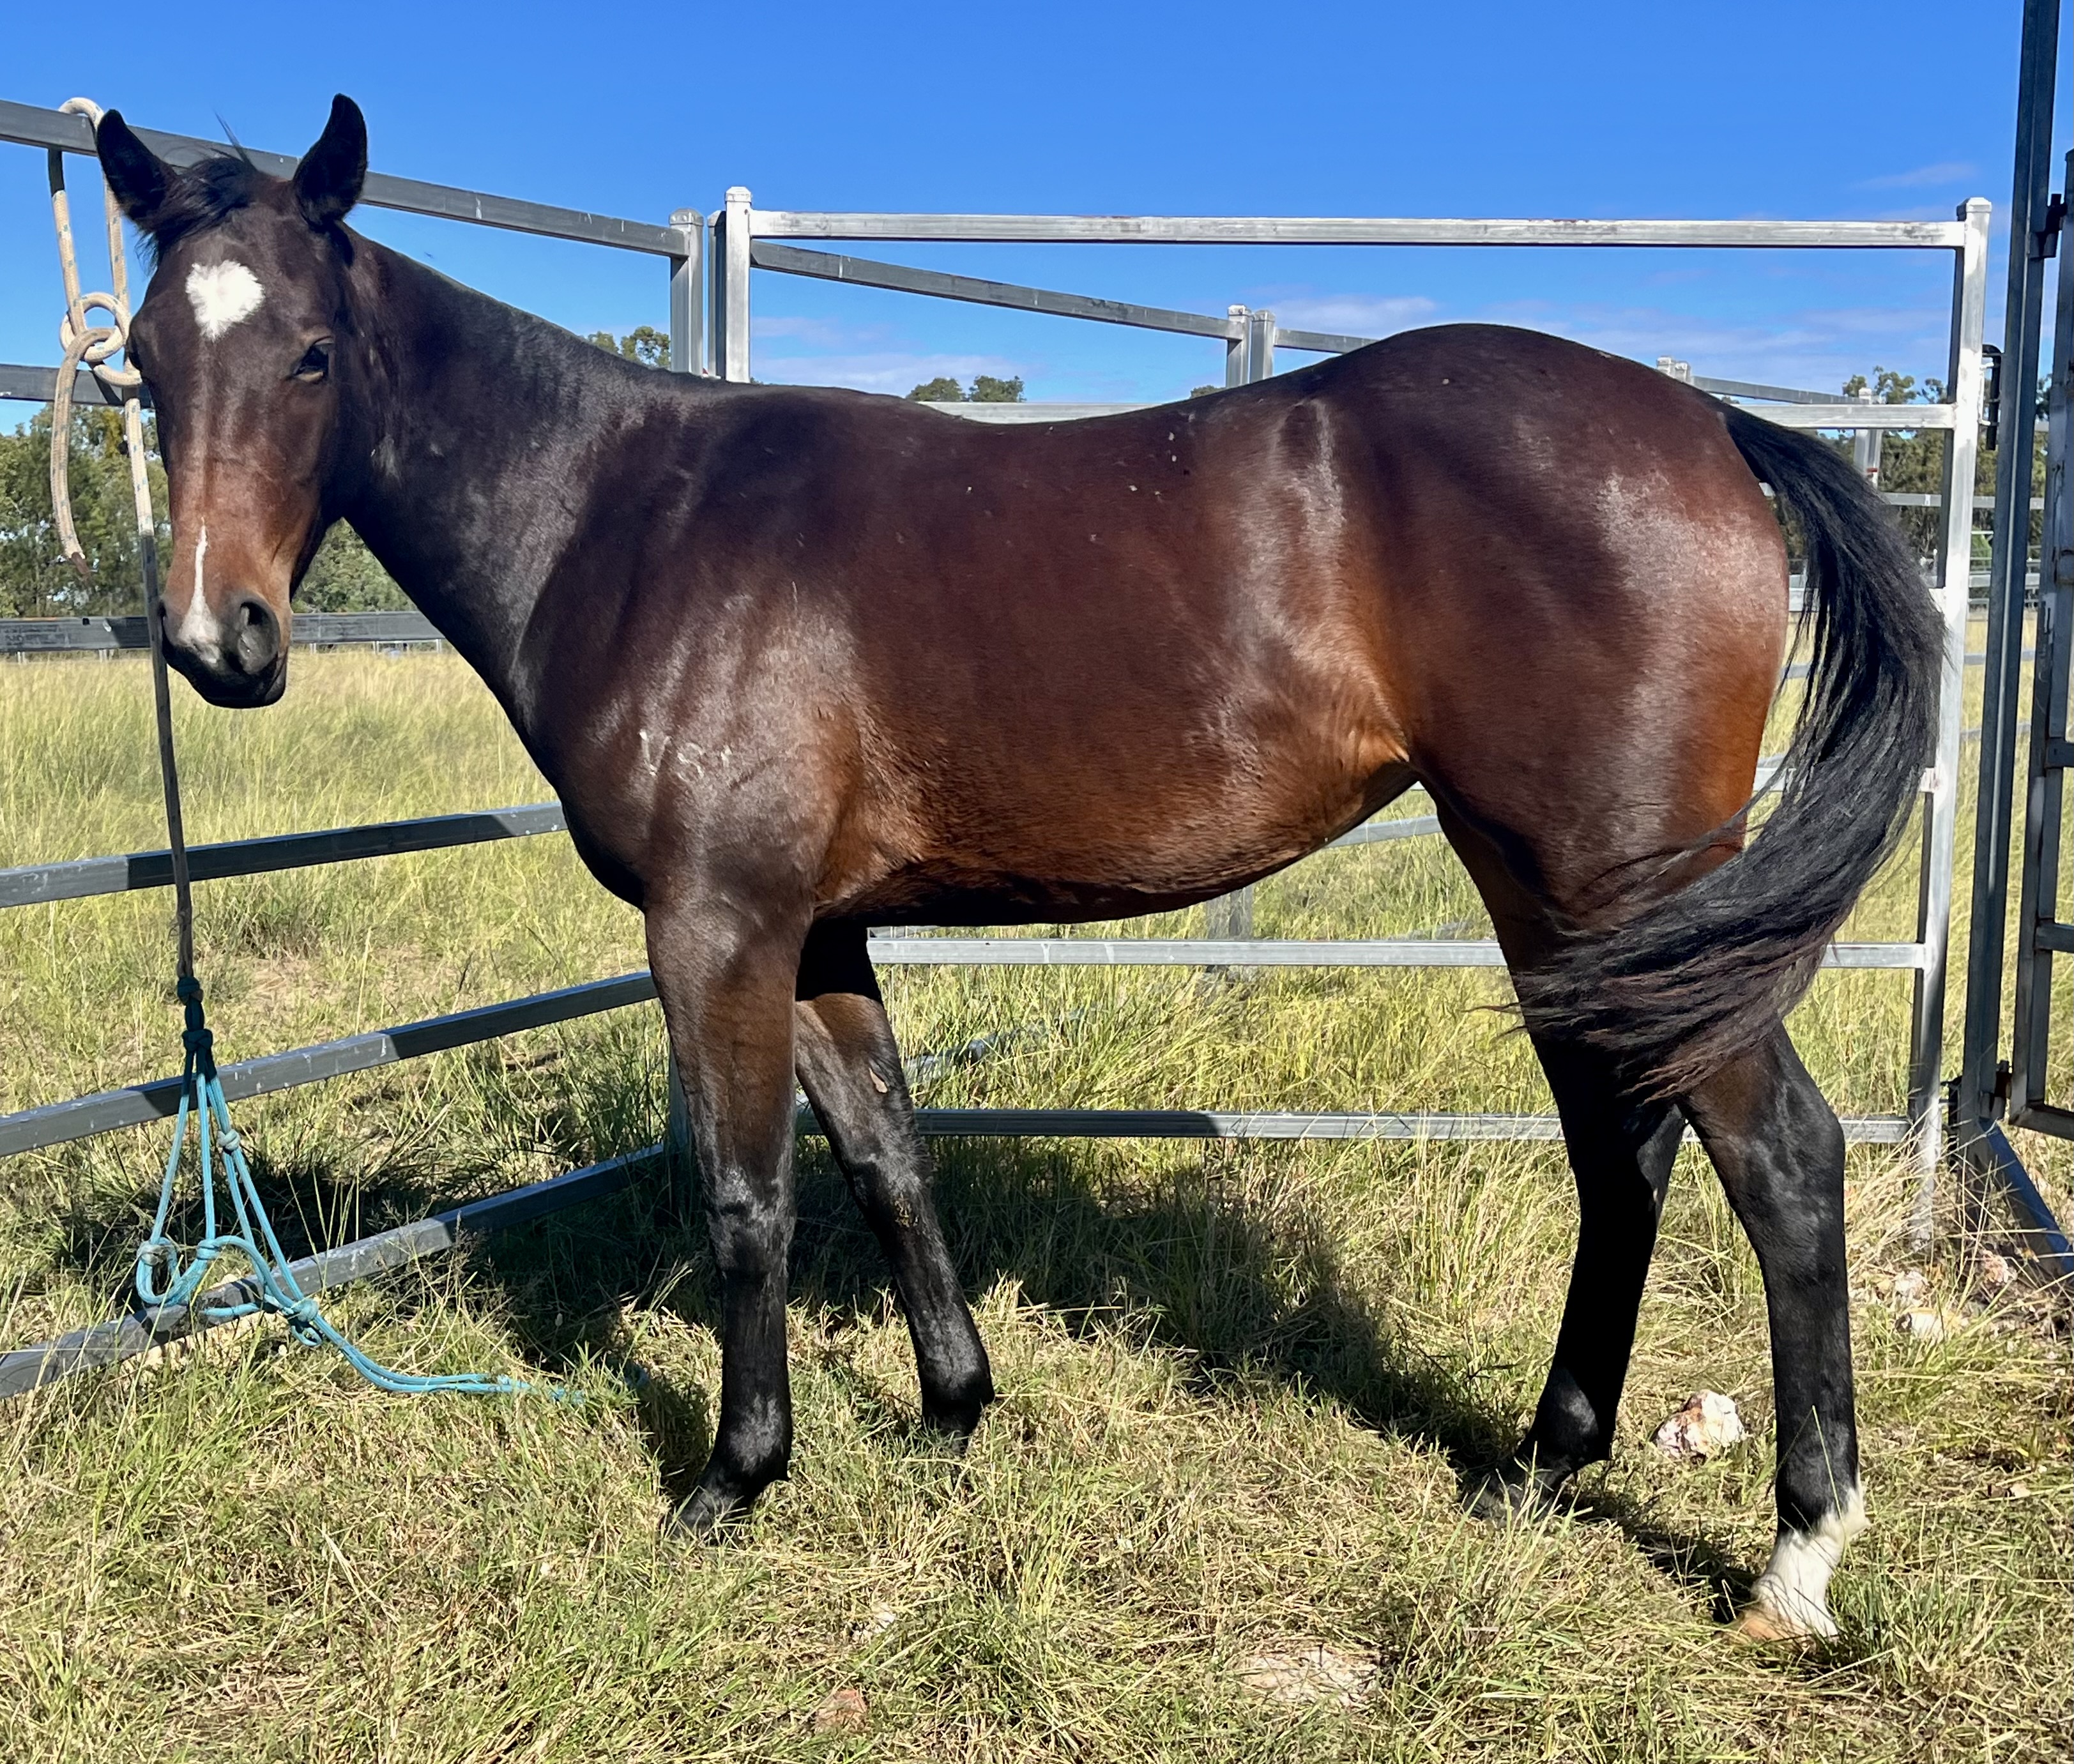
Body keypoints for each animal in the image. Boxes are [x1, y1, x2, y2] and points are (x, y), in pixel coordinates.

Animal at [92, 95, 1940, 1642]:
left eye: (313, 353)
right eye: (145, 362)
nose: (214, 641)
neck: (625, 517)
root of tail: (1706, 422)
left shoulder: (718, 926)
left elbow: (746, 1193)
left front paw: (732, 1476)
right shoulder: (819, 931)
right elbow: (886, 1156)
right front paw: (950, 1408)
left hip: (1619, 883)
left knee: (1777, 1160)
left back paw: (1794, 1557)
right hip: (1547, 896)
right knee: (1619, 1150)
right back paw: (1541, 1462)